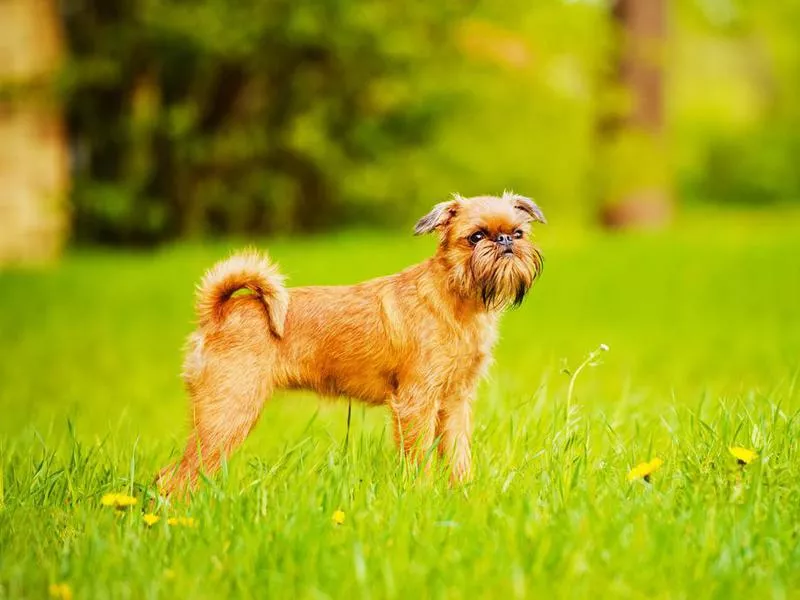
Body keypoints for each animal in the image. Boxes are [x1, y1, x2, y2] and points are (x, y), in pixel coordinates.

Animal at [158, 191, 544, 492]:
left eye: (519, 232)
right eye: (476, 237)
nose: (505, 241)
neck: (457, 300)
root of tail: (218, 312)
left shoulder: (455, 401)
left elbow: (459, 454)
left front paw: (461, 493)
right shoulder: (416, 402)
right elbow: (418, 456)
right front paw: (419, 494)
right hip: (228, 411)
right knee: (176, 477)